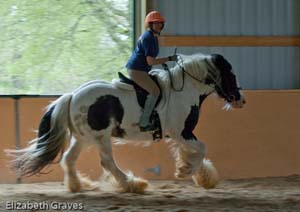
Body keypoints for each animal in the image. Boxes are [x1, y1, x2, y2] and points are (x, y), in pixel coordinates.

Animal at [5, 53, 246, 194]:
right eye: (231, 74)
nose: (241, 100)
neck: (186, 90)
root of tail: (72, 95)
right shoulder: (181, 132)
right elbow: (201, 149)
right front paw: (185, 171)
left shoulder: (181, 134)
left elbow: (194, 152)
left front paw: (203, 177)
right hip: (100, 137)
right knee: (107, 162)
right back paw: (132, 184)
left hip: (84, 138)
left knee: (69, 159)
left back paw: (78, 186)